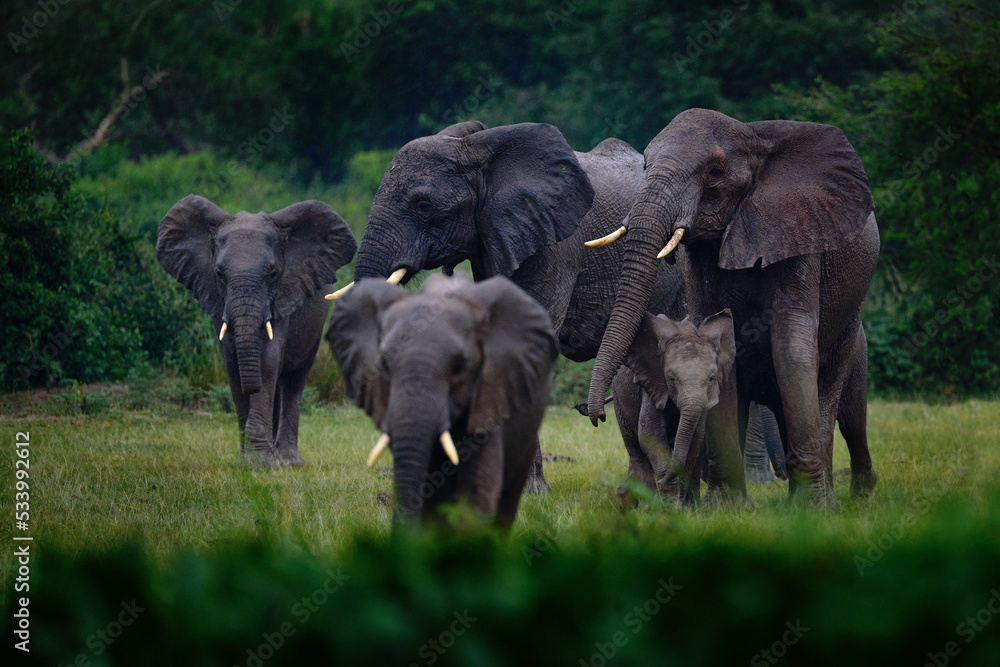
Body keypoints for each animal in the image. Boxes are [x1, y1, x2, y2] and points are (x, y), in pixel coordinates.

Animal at [157, 195, 357, 470]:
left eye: (273, 274)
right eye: (219, 274)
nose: (251, 388)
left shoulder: (283, 294)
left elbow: (268, 361)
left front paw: (262, 465)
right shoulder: (218, 299)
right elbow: (233, 364)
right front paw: (246, 464)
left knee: (294, 380)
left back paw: (289, 461)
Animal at [612, 309, 737, 508]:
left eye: (712, 378)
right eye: (671, 378)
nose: (661, 483)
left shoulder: (705, 399)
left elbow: (695, 439)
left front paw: (679, 506)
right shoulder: (653, 383)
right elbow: (650, 434)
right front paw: (668, 505)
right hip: (619, 397)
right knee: (634, 445)